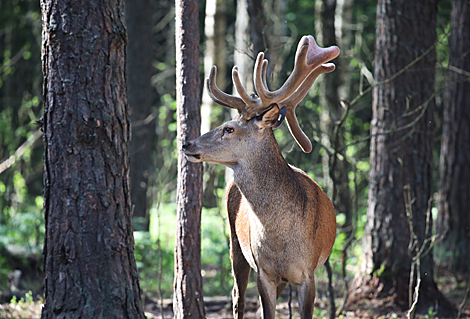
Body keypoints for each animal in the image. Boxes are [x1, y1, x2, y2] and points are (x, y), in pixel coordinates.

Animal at [182, 35, 340, 319]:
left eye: (229, 129)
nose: (187, 144)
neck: (279, 239)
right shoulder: (263, 271)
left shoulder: (308, 273)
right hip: (235, 245)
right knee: (237, 295)